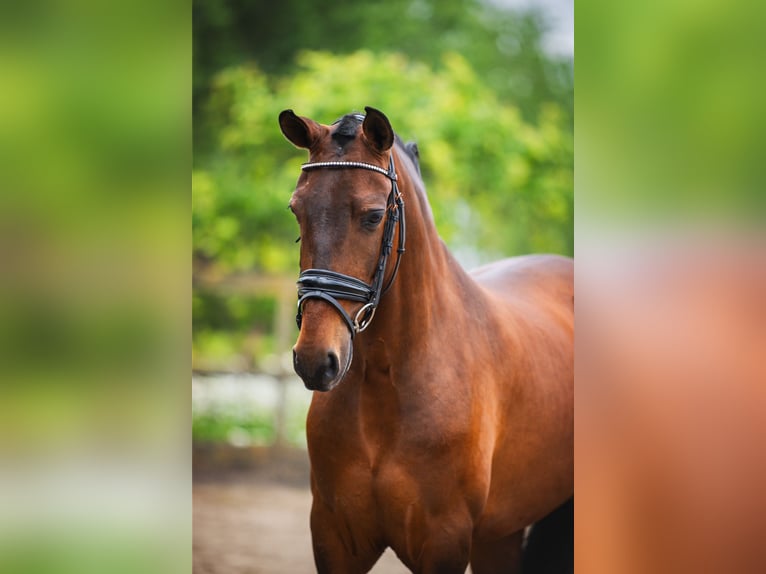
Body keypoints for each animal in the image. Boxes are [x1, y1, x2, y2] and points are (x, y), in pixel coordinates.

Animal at [280, 106, 572, 572]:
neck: (386, 382)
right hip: (500, 533)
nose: (314, 359)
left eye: (373, 216)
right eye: (297, 210)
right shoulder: (333, 537)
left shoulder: (443, 541)